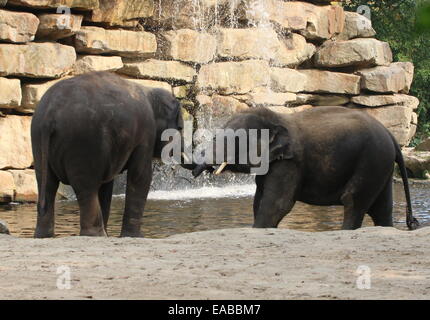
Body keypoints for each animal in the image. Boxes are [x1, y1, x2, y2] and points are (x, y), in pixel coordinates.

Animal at [31, 72, 190, 238]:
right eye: (180, 128)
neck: (149, 90)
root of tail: (50, 115)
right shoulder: (146, 134)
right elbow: (141, 177)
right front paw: (135, 236)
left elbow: (107, 187)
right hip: (83, 142)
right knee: (86, 188)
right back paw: (96, 235)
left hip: (38, 138)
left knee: (47, 184)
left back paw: (44, 236)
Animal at [192, 107, 420, 230]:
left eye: (236, 140)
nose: (197, 172)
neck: (275, 118)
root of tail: (391, 136)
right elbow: (259, 201)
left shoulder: (291, 162)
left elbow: (278, 203)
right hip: (381, 165)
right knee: (382, 208)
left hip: (371, 160)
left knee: (353, 201)